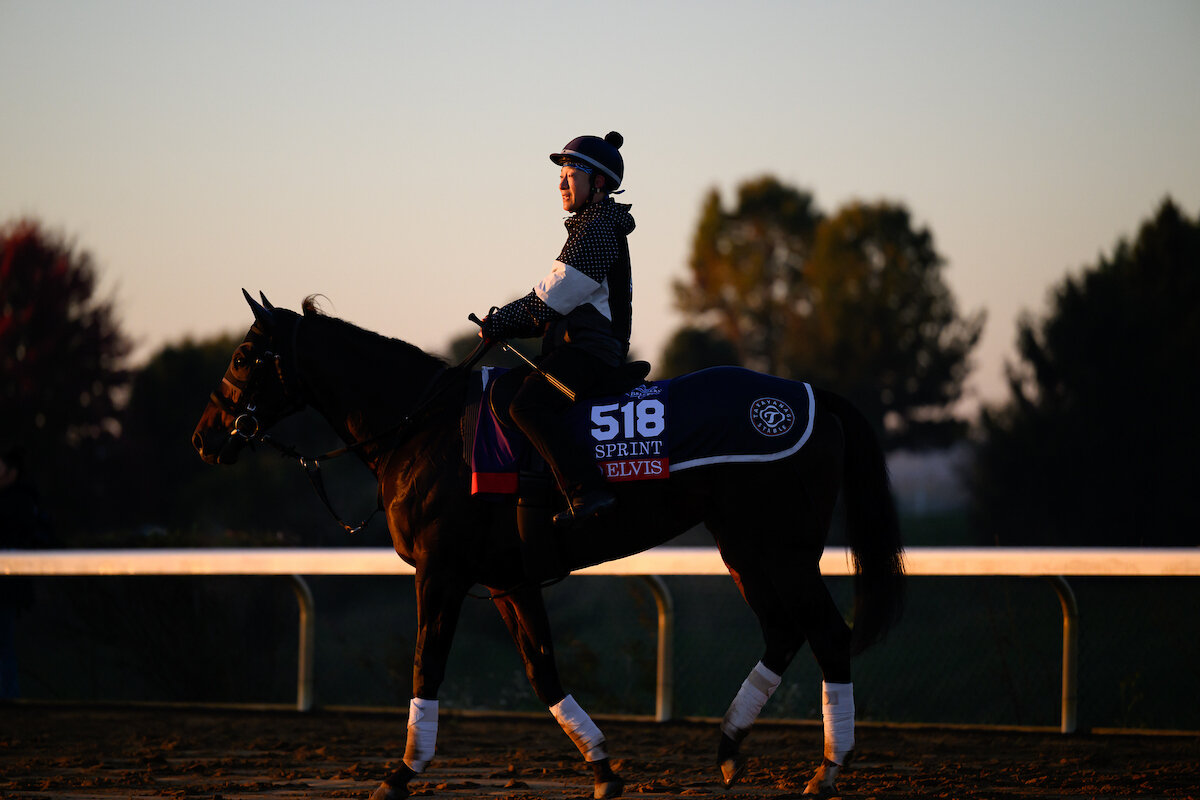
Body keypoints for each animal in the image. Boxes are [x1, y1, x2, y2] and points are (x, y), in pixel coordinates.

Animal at [191, 292, 905, 799]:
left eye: (242, 356)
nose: (204, 438)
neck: (422, 429)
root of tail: (806, 396)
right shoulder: (509, 579)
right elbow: (542, 669)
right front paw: (604, 768)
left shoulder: (441, 572)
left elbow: (428, 664)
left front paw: (401, 774)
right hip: (744, 547)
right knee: (783, 632)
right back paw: (729, 749)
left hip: (782, 548)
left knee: (828, 634)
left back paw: (827, 769)